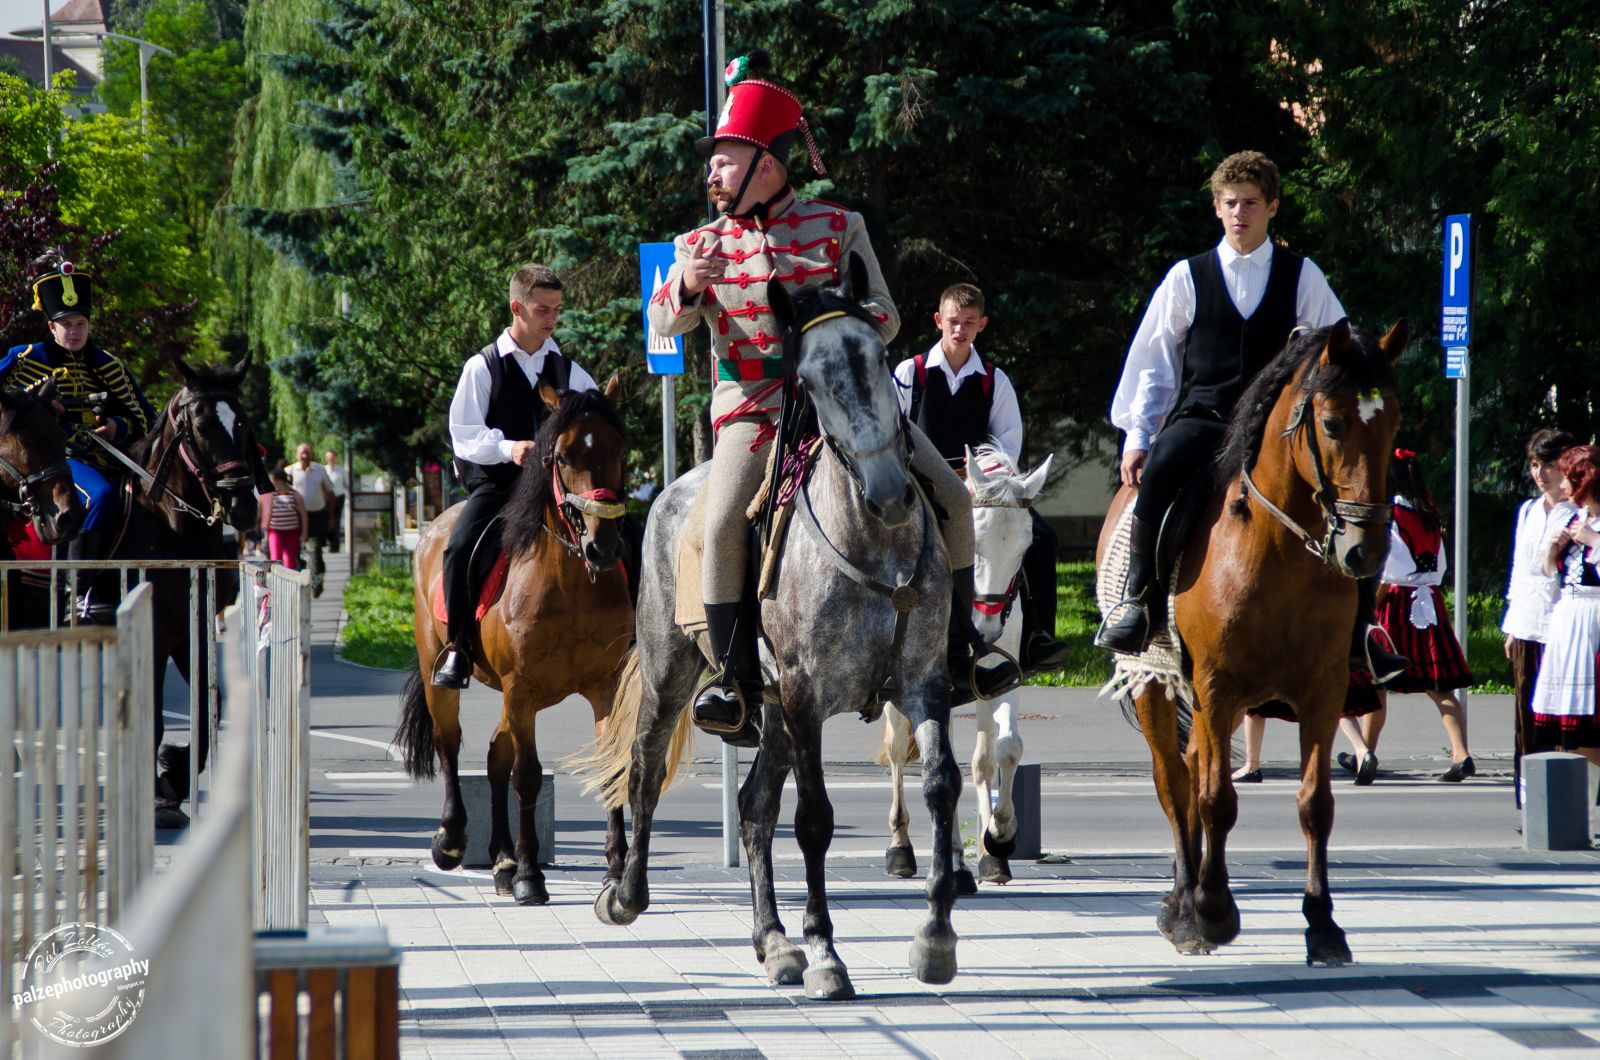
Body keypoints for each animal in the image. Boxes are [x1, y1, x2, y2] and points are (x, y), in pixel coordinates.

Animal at [393, 377, 630, 909]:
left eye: (620, 449)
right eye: (560, 456)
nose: (603, 547)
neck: (570, 579)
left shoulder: (605, 689)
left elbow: (608, 769)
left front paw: (617, 870)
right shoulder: (522, 689)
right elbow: (528, 774)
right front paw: (529, 875)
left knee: (494, 757)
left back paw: (500, 860)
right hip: (444, 674)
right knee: (451, 744)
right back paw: (453, 841)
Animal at [576, 267, 960, 1005]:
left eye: (878, 357)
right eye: (804, 378)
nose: (890, 493)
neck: (875, 546)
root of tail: (668, 493)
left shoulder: (922, 684)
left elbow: (940, 787)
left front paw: (934, 938)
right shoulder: (807, 698)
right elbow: (813, 821)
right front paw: (829, 954)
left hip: (772, 711)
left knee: (753, 804)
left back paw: (774, 941)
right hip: (675, 675)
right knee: (643, 770)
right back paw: (627, 895)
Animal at [889, 445, 1049, 890]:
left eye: (1026, 546)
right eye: (974, 541)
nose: (987, 627)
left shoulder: (1000, 676)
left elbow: (1000, 752)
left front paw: (999, 839)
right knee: (897, 752)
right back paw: (902, 848)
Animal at [1094, 320, 1408, 967]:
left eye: (1393, 421)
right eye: (1333, 423)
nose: (1365, 550)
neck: (1280, 552)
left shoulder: (1322, 692)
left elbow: (1315, 804)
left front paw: (1323, 924)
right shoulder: (1218, 685)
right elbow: (1215, 799)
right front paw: (1213, 910)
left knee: (1193, 770)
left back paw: (1184, 898)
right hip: (1158, 686)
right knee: (1175, 781)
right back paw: (1186, 904)